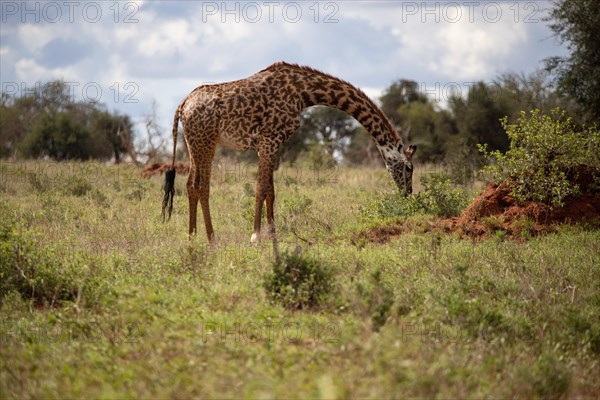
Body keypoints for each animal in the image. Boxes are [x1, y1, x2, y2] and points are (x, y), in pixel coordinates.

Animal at [163, 61, 418, 253]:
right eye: (409, 168)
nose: (407, 194)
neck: (303, 93)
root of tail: (182, 106)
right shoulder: (268, 139)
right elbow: (261, 188)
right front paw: (255, 237)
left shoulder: (272, 144)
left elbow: (271, 191)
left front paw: (273, 234)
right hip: (206, 142)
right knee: (202, 187)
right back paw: (212, 240)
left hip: (194, 143)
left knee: (190, 185)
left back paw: (192, 237)